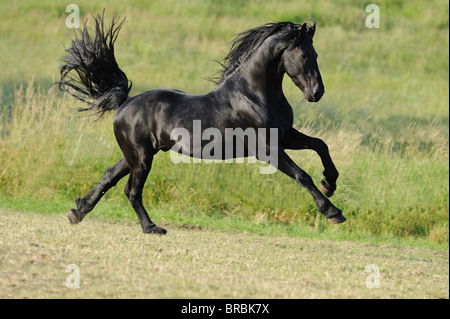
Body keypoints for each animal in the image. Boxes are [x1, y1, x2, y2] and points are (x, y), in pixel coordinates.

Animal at [59, 11, 344, 235]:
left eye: (316, 53)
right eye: (304, 55)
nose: (317, 93)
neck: (253, 95)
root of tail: (125, 102)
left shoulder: (285, 136)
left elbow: (321, 145)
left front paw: (329, 184)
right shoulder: (265, 148)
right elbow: (302, 174)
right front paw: (332, 211)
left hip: (137, 154)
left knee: (110, 175)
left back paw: (78, 211)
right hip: (141, 157)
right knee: (132, 190)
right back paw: (152, 228)